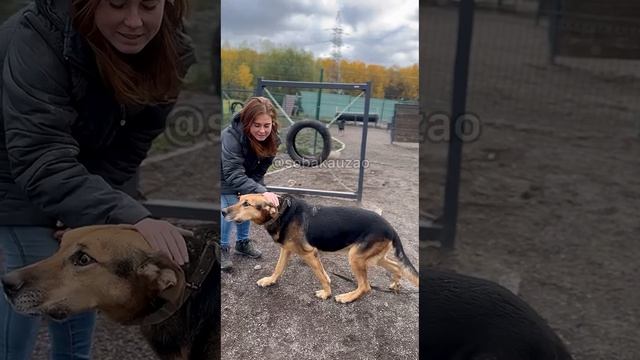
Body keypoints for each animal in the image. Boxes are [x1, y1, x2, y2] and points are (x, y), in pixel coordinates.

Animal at [221, 193, 420, 302]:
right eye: (239, 199)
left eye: (247, 204)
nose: (223, 211)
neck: (281, 212)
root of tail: (391, 228)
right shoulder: (288, 250)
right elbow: (278, 268)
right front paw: (270, 280)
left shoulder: (309, 253)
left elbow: (320, 277)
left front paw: (326, 293)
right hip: (373, 257)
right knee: (396, 267)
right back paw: (395, 284)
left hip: (356, 257)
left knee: (365, 286)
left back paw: (347, 297)